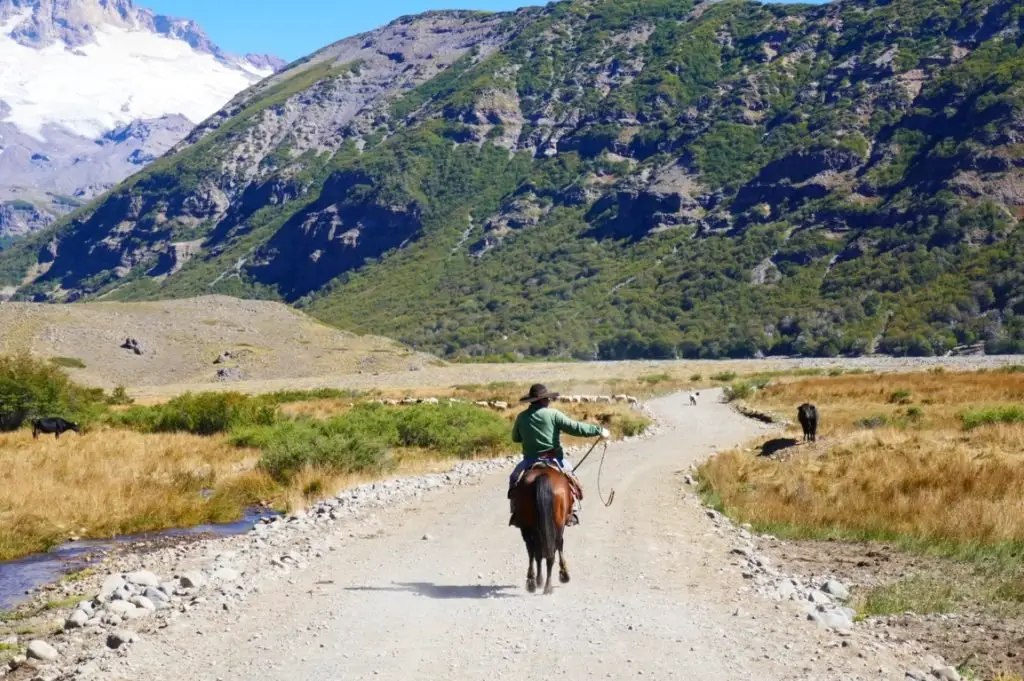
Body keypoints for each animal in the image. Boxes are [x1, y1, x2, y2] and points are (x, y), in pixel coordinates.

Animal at [509, 464, 573, 593]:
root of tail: (542, 475)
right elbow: (558, 546)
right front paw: (564, 573)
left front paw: (538, 580)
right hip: (556, 524)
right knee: (550, 550)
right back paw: (546, 585)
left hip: (527, 527)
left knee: (535, 551)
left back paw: (535, 582)